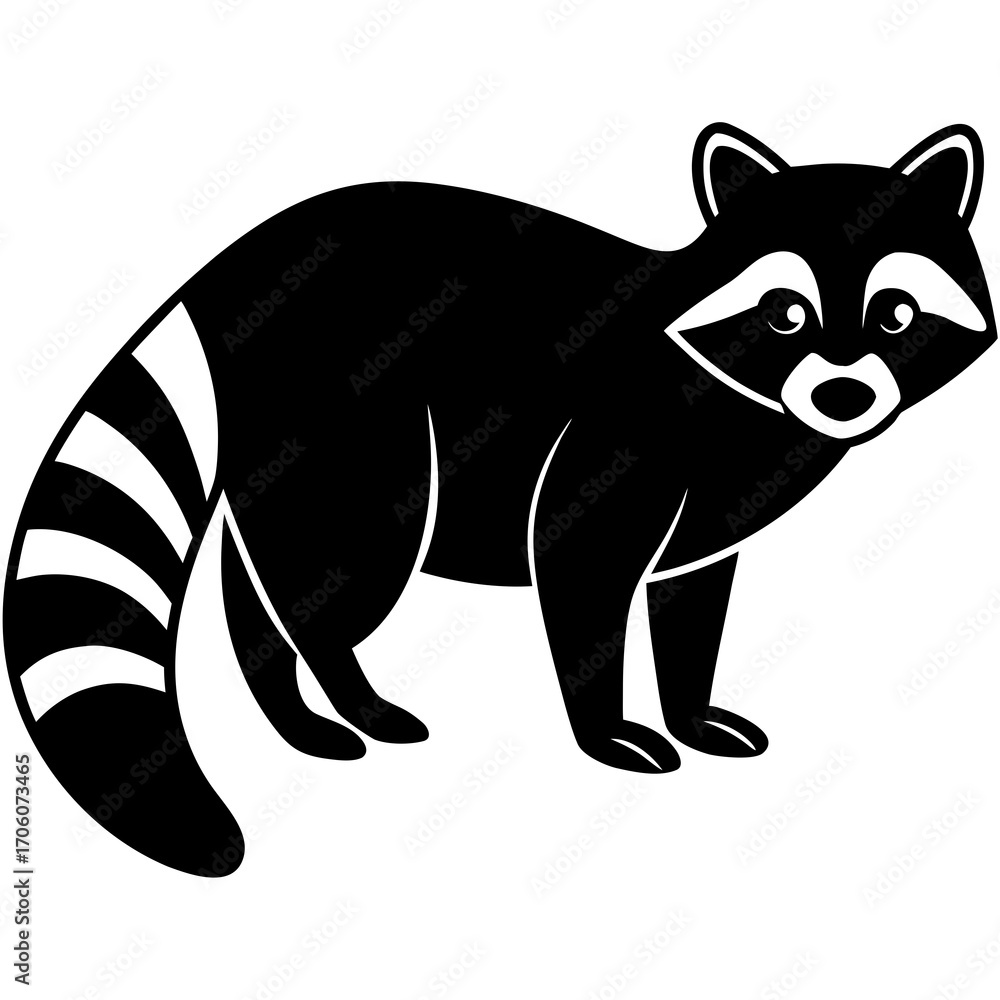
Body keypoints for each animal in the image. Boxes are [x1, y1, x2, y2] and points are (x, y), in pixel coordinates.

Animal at [5, 124, 994, 875]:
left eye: (896, 314)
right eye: (787, 312)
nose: (843, 394)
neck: (749, 405)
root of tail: (229, 264)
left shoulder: (715, 508)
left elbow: (690, 606)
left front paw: (688, 708)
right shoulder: (618, 440)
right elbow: (582, 581)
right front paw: (612, 729)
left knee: (264, 585)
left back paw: (294, 716)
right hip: (355, 430)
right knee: (337, 579)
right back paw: (346, 694)